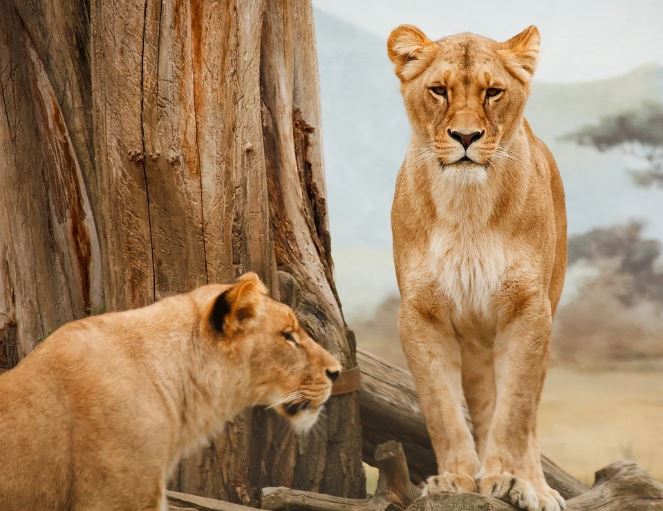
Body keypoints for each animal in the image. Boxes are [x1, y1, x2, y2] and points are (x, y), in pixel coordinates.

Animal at [387, 25, 567, 511]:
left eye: (493, 92)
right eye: (438, 90)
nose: (465, 136)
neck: (467, 206)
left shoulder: (529, 310)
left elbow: (515, 411)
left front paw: (507, 478)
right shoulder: (420, 314)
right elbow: (442, 408)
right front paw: (455, 479)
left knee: (529, 414)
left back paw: (536, 487)